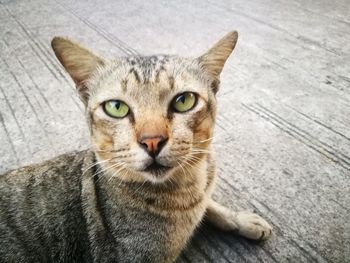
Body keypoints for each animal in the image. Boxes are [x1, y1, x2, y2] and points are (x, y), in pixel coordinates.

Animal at [0, 32, 272, 262]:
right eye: (116, 107)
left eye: (184, 101)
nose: (152, 140)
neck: (188, 188)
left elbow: (211, 205)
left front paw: (242, 219)